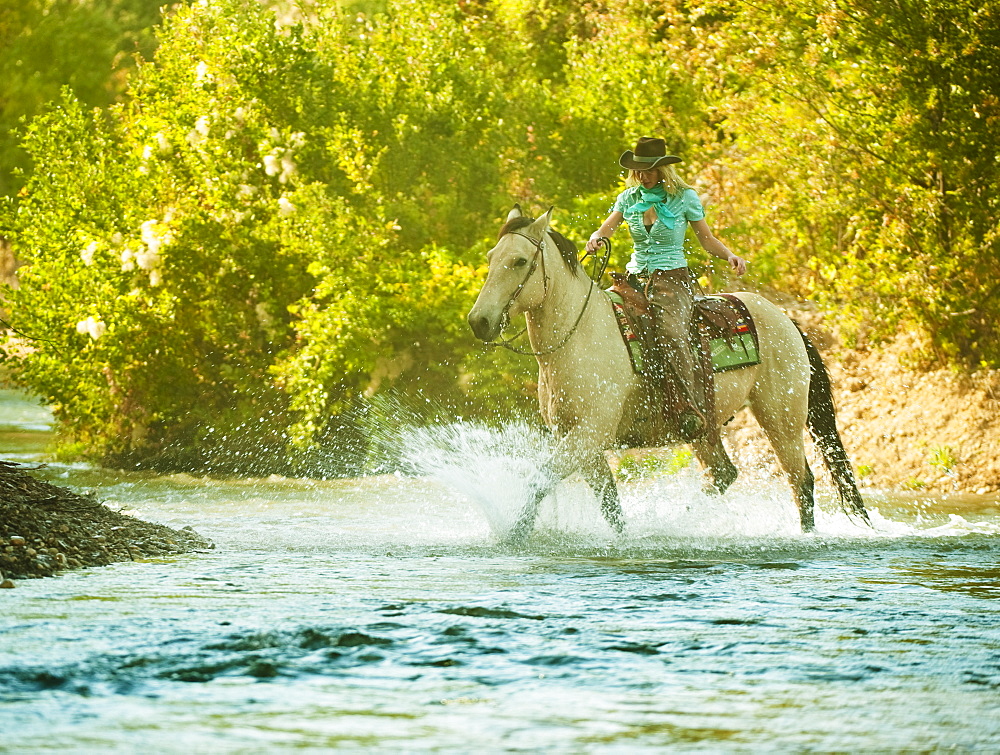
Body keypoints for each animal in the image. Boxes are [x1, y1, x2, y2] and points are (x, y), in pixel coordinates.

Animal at [468, 204, 868, 540]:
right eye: (490, 258)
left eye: (519, 261)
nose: (479, 321)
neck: (580, 335)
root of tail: (785, 319)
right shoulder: (580, 441)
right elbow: (609, 504)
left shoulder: (587, 436)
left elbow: (539, 480)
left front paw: (513, 534)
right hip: (704, 425)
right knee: (724, 474)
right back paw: (684, 518)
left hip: (780, 417)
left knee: (801, 480)